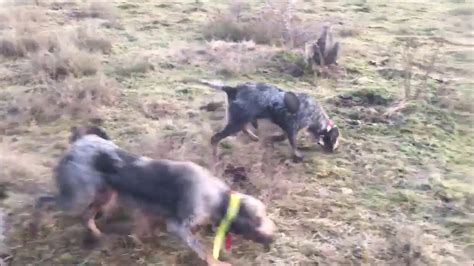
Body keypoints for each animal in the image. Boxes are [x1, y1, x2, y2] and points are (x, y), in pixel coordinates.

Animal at [197, 80, 340, 161]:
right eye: (335, 139)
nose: (334, 151)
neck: (315, 116)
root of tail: (233, 89)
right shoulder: (291, 126)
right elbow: (291, 142)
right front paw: (297, 154)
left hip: (242, 118)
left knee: (244, 128)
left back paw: (254, 137)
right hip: (236, 122)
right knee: (215, 138)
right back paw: (215, 158)